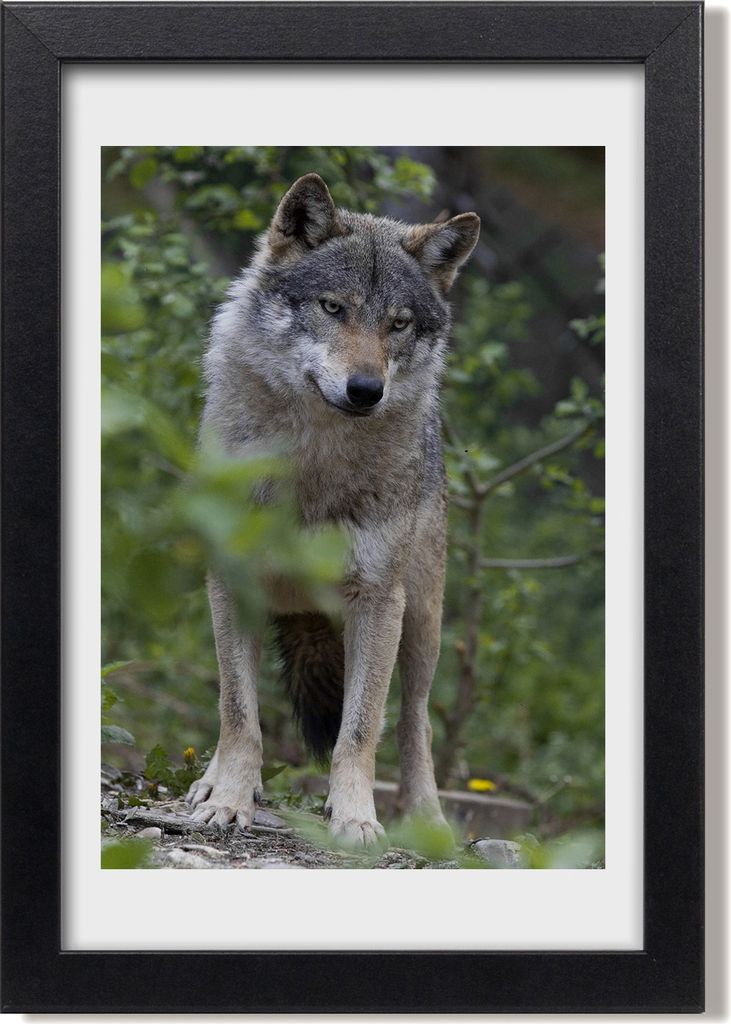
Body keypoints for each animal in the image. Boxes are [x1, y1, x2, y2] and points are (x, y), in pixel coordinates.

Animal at [186, 173, 480, 847]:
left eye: (398, 324)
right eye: (333, 308)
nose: (366, 390)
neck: (312, 465)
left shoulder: (378, 600)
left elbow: (361, 731)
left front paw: (355, 819)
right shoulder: (231, 580)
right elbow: (238, 712)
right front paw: (229, 801)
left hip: (422, 623)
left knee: (417, 721)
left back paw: (427, 820)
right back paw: (210, 784)